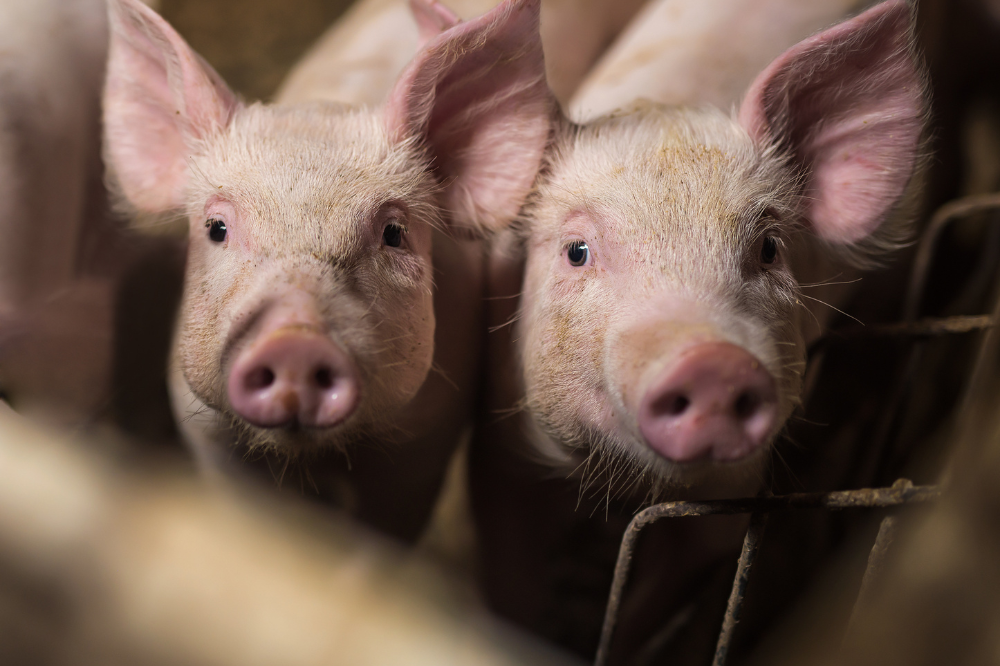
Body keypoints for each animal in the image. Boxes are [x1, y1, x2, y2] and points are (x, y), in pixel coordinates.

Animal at [99, 0, 556, 540]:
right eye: (216, 228)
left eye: (393, 232)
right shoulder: (211, 440)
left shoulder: (423, 448)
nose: (295, 341)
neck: (315, 460)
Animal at [468, 0, 928, 660]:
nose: (714, 363)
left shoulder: (738, 491)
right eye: (577, 252)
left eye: (768, 249)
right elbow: (511, 577)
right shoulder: (506, 451)